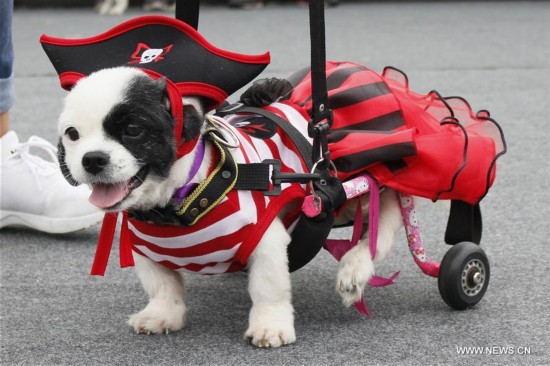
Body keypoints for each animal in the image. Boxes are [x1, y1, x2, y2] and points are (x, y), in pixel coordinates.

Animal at [58, 64, 406, 348]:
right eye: (72, 134)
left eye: (133, 130)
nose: (92, 159)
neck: (176, 205)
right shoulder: (145, 249)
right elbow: (162, 285)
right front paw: (161, 314)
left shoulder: (266, 239)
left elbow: (269, 288)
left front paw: (270, 326)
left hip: (346, 188)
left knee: (386, 215)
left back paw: (355, 267)